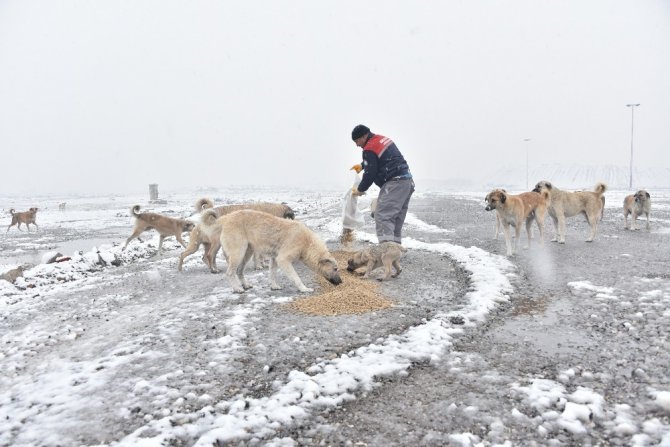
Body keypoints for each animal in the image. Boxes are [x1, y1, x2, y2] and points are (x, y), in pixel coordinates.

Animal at [213, 210, 344, 294]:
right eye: (335, 269)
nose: (341, 282)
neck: (307, 243)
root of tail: (226, 218)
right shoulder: (283, 259)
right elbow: (295, 277)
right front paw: (304, 289)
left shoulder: (274, 258)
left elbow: (272, 273)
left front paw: (274, 286)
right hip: (238, 253)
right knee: (230, 272)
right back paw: (237, 288)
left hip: (247, 252)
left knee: (239, 271)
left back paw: (245, 285)